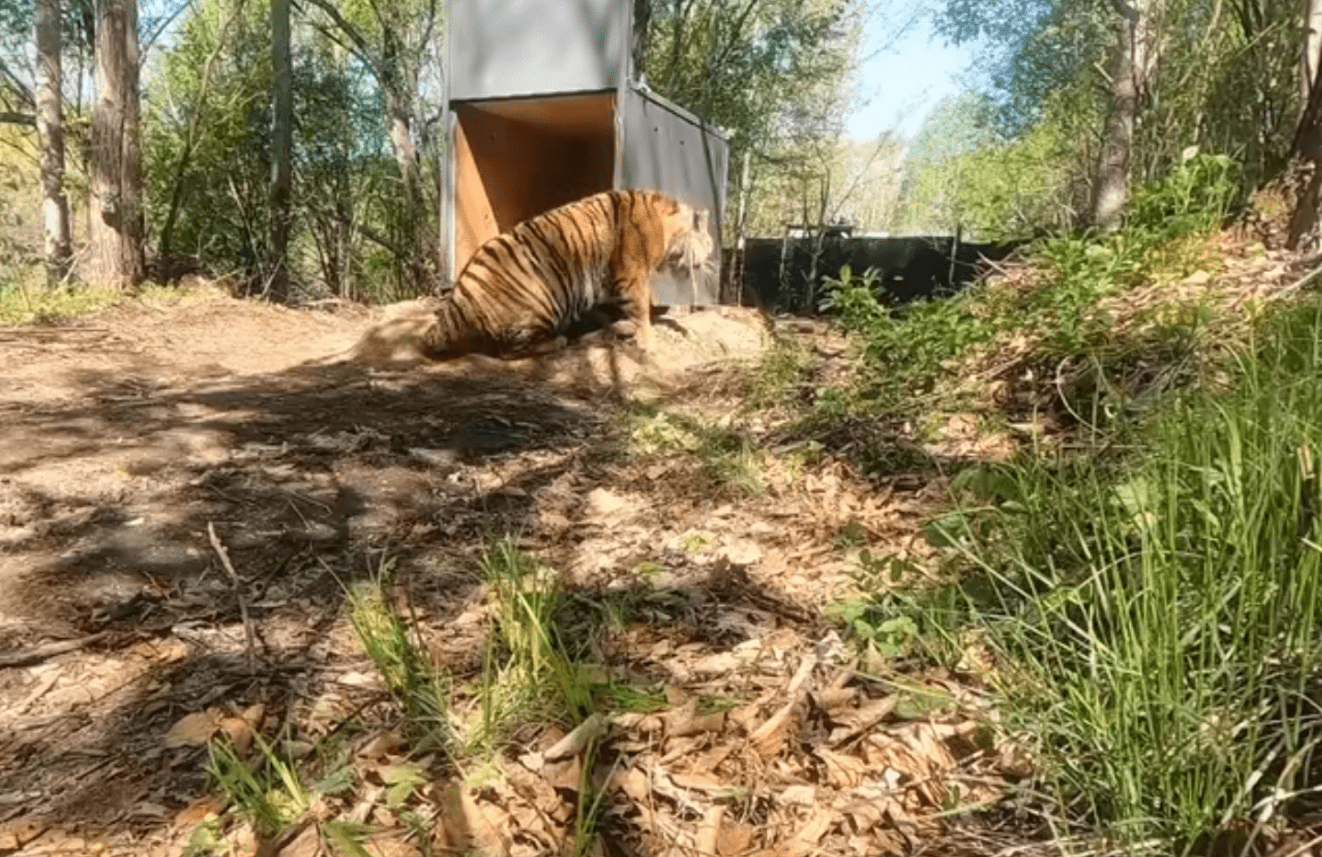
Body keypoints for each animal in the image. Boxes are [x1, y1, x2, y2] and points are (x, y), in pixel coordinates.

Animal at [420, 189, 715, 360]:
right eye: (709, 241)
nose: (712, 258)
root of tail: (457, 303)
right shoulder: (632, 274)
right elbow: (641, 310)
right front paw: (648, 342)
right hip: (543, 300)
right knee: (509, 351)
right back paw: (560, 341)